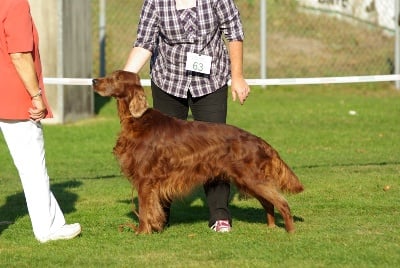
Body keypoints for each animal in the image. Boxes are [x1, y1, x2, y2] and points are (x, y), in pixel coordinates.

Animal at [92, 70, 304, 233]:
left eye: (116, 78)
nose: (94, 81)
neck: (137, 120)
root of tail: (258, 140)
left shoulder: (145, 179)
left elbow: (145, 210)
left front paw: (142, 232)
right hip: (248, 180)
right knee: (269, 203)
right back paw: (271, 228)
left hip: (251, 178)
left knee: (282, 203)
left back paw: (290, 232)